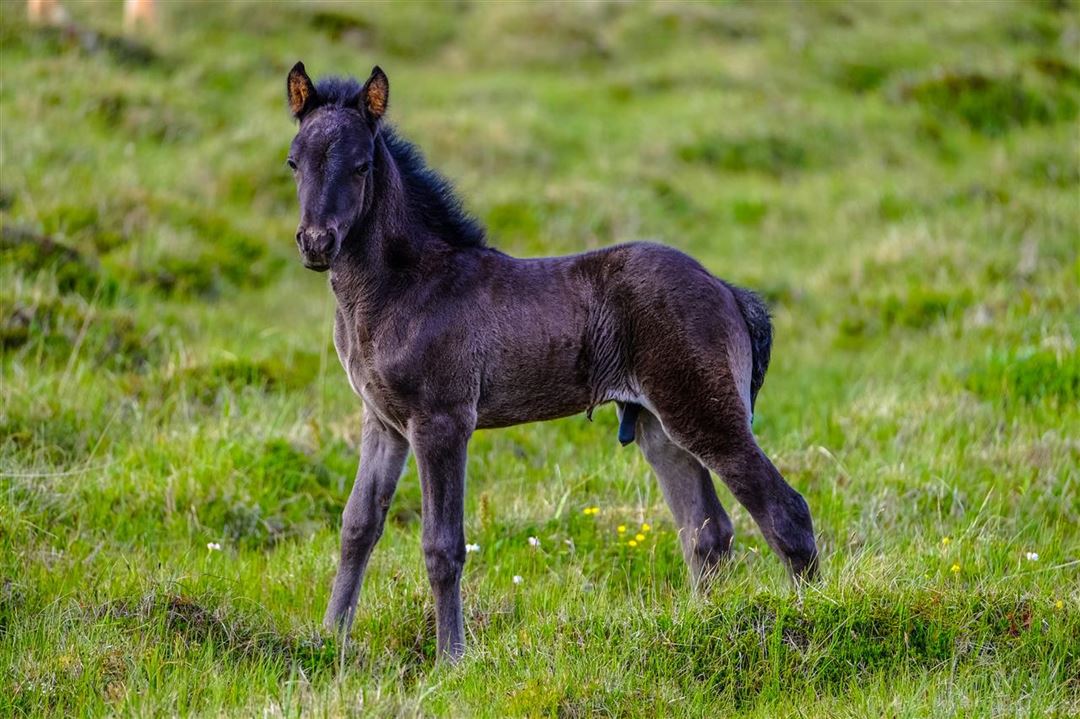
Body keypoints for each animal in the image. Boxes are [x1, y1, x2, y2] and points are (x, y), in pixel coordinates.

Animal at [282, 62, 812, 660]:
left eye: (361, 165)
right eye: (294, 161)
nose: (316, 243)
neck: (404, 286)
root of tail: (727, 291)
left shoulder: (442, 421)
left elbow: (442, 545)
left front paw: (451, 659)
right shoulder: (383, 421)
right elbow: (357, 526)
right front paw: (329, 639)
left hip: (704, 411)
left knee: (785, 512)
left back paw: (810, 616)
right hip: (658, 427)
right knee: (707, 533)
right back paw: (704, 625)